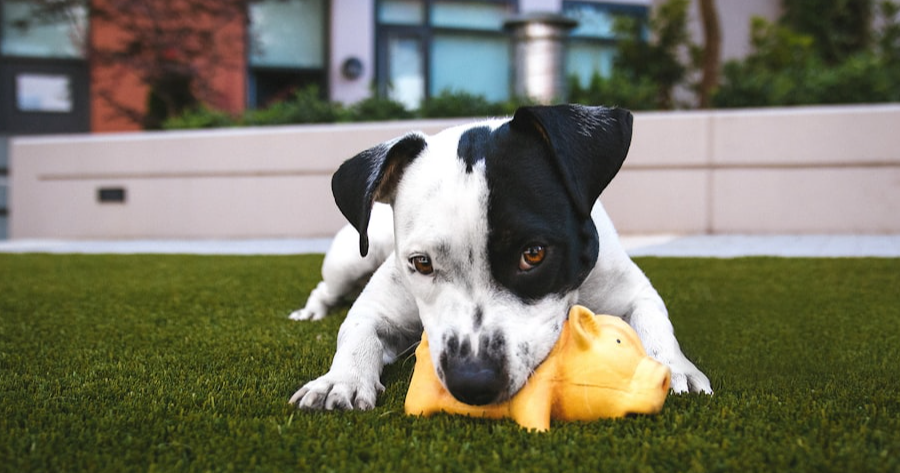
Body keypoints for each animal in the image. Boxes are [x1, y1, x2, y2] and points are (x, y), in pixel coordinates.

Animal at [289, 104, 712, 411]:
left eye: (533, 254)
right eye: (421, 263)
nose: (472, 381)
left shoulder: (633, 291)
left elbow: (654, 322)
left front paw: (674, 367)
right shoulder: (377, 307)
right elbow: (357, 331)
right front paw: (340, 380)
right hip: (351, 258)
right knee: (325, 288)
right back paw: (311, 312)